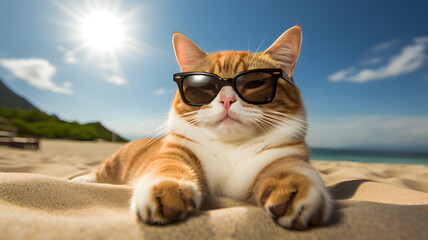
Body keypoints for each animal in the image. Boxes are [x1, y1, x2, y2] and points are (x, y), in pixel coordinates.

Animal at [73, 25, 332, 230]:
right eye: (204, 86)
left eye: (255, 83)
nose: (226, 100)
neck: (231, 148)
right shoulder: (177, 151)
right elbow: (168, 166)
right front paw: (166, 188)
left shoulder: (284, 157)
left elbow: (292, 171)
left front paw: (293, 190)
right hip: (115, 160)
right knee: (100, 171)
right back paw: (82, 179)